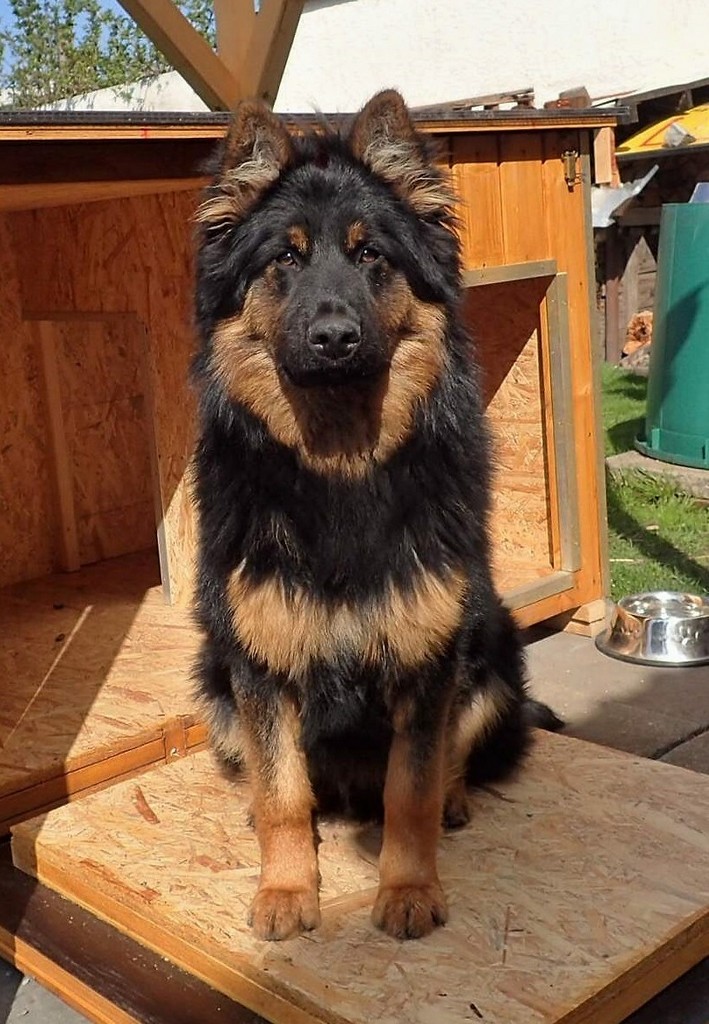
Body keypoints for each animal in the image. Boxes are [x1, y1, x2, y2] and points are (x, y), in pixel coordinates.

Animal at [190, 89, 562, 942]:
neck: (339, 466)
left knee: (454, 757)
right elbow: (284, 792)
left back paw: (455, 801)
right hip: (214, 682)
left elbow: (409, 787)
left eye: (372, 257)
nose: (334, 338)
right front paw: (287, 891)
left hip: (491, 656)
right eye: (285, 259)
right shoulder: (257, 664)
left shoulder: (428, 658)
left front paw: (408, 888)